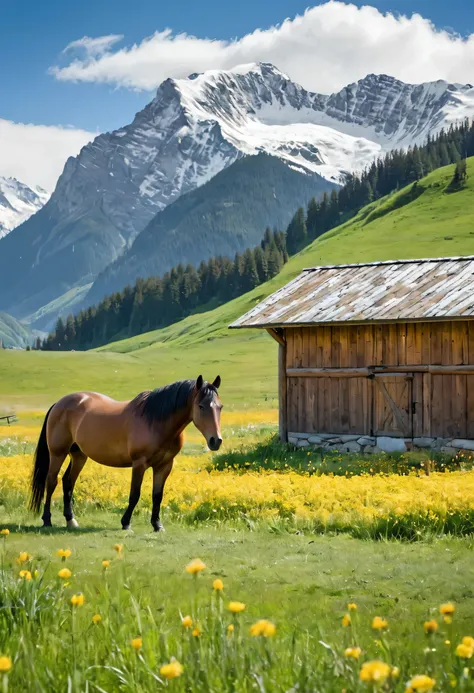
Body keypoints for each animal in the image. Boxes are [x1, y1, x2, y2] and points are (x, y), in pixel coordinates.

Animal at [28, 378, 223, 528]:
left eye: (219, 407)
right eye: (201, 406)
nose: (216, 440)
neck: (156, 422)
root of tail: (59, 403)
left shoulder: (164, 465)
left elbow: (157, 496)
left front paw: (157, 524)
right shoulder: (139, 463)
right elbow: (134, 494)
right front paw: (126, 522)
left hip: (79, 456)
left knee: (68, 482)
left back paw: (71, 520)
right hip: (58, 453)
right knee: (51, 482)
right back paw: (47, 520)